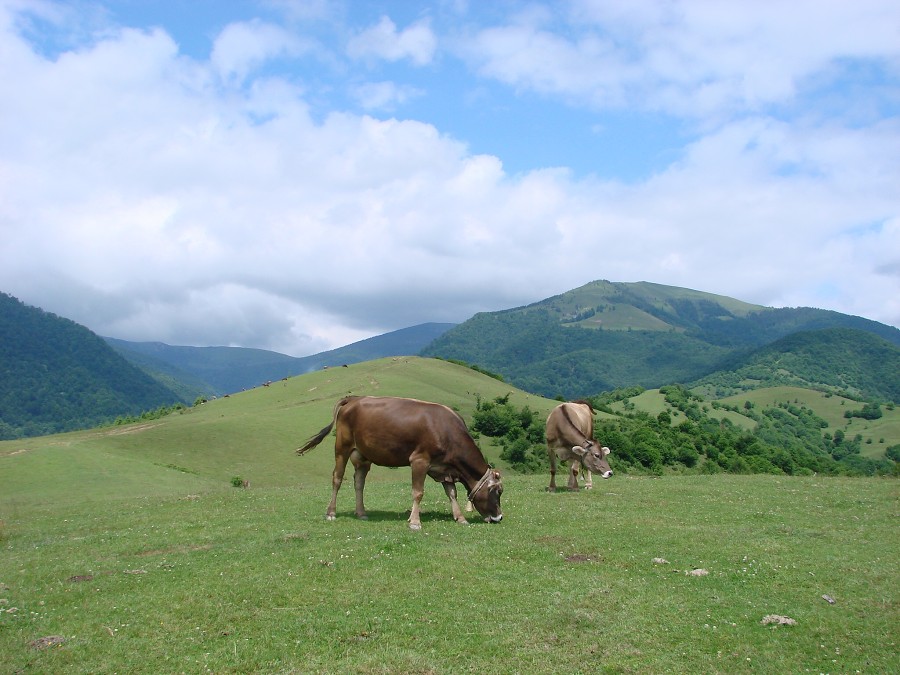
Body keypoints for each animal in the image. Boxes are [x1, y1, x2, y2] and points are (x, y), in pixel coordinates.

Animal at [298, 396, 502, 532]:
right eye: (497, 491)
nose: (499, 517)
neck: (447, 431)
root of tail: (354, 398)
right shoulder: (419, 460)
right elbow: (418, 492)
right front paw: (415, 522)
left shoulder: (444, 468)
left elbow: (452, 493)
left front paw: (460, 518)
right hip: (342, 447)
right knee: (337, 478)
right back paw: (331, 512)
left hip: (362, 455)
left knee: (359, 482)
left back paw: (361, 512)